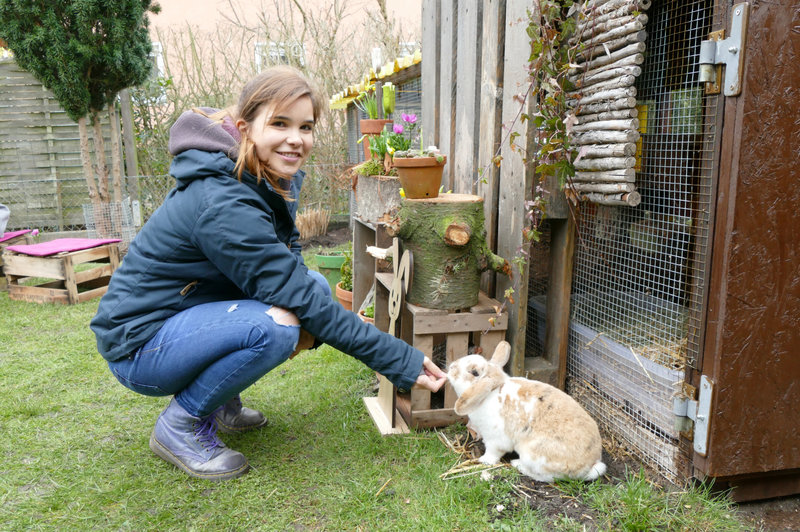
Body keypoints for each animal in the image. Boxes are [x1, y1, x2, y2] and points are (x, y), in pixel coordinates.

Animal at [450, 340, 608, 482]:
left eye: (474, 372)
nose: (451, 367)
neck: (490, 392)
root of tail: (590, 464)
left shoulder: (495, 439)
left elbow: (493, 452)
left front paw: (484, 460)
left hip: (533, 455)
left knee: (546, 477)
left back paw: (517, 464)